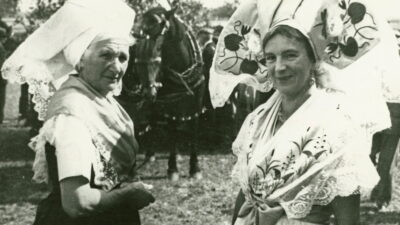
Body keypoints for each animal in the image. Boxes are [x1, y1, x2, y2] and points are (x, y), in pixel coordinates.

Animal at [135, 6, 205, 180]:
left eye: (159, 46)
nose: (135, 33)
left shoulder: (197, 100)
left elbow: (193, 129)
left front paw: (195, 167)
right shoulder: (169, 102)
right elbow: (172, 130)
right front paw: (173, 168)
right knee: (153, 119)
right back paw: (150, 154)